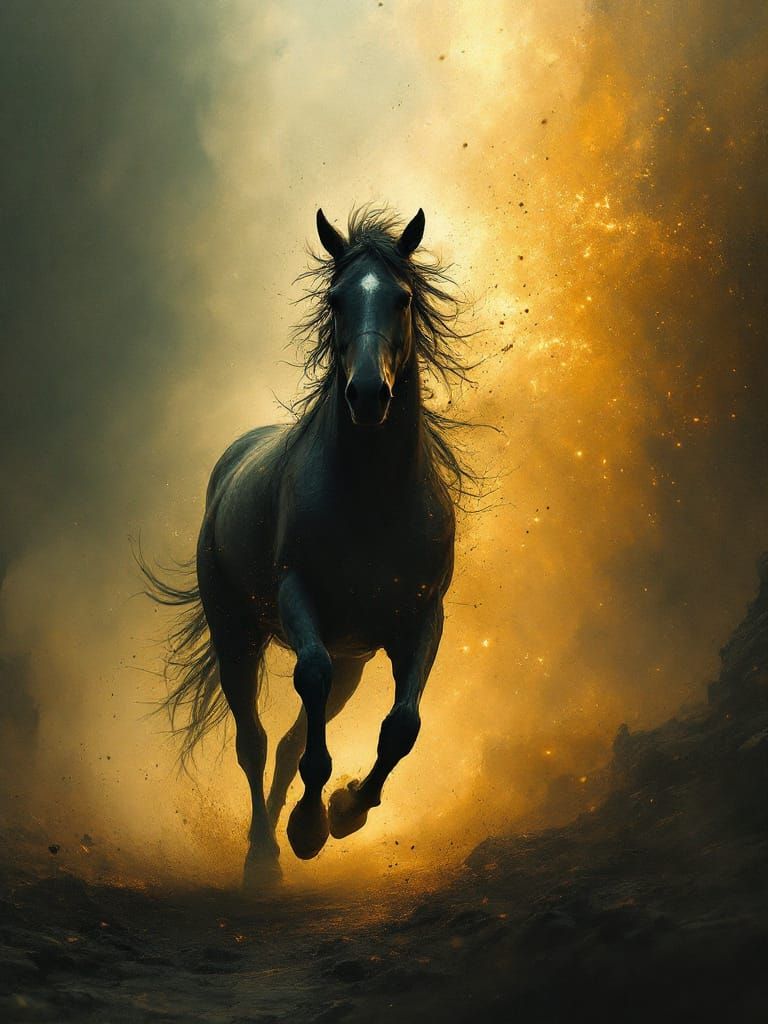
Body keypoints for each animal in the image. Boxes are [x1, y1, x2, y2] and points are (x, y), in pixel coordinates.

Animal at [141, 206, 472, 887]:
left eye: (402, 298)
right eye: (335, 298)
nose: (368, 394)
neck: (372, 501)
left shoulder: (423, 616)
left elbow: (402, 726)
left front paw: (346, 810)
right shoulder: (301, 600)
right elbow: (305, 698)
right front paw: (308, 826)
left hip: (353, 661)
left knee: (292, 739)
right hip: (236, 637)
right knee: (255, 741)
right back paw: (263, 855)